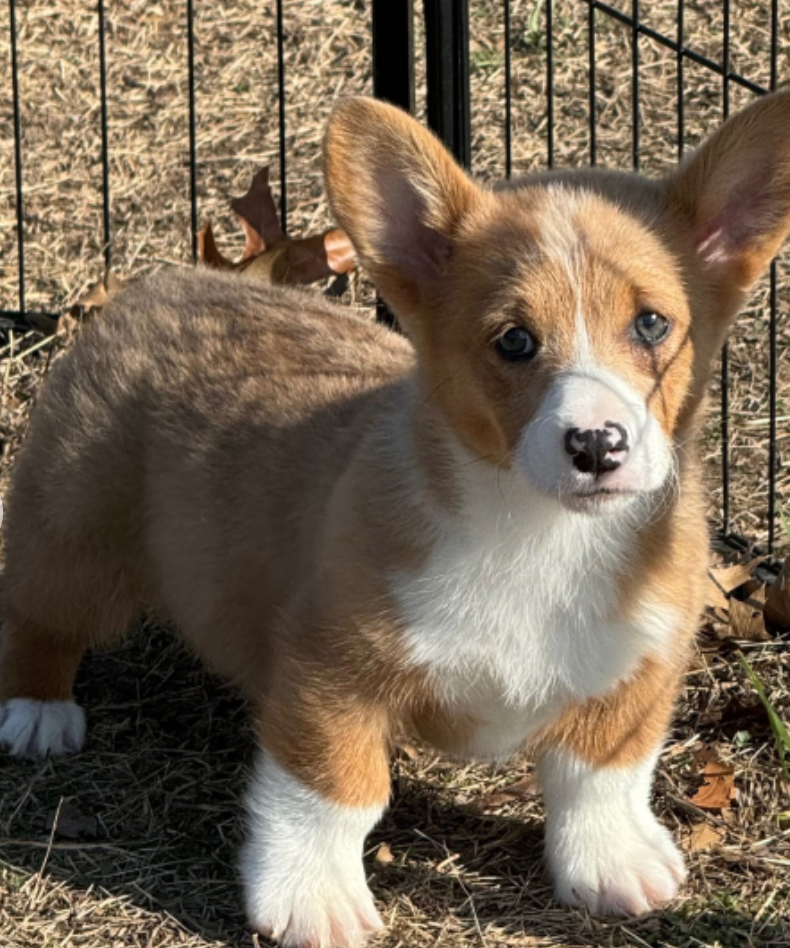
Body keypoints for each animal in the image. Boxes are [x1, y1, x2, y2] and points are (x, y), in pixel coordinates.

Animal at [1, 90, 790, 948]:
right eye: (515, 341)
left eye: (651, 325)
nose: (597, 445)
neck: (537, 531)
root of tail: (159, 285)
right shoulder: (330, 676)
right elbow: (332, 794)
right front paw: (310, 899)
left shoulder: (638, 669)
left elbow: (601, 776)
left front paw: (613, 863)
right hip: (74, 539)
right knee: (39, 614)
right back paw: (37, 713)